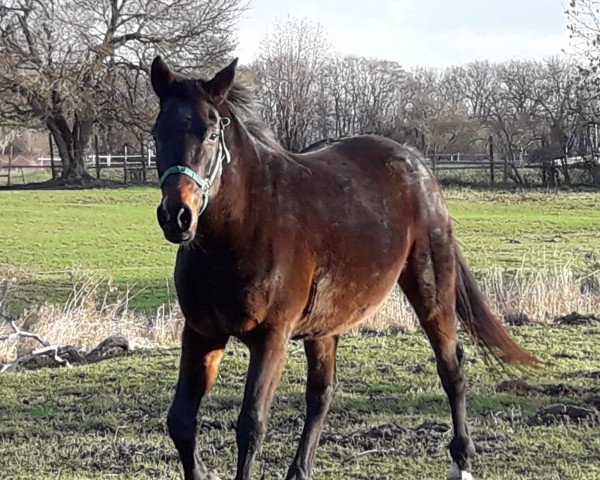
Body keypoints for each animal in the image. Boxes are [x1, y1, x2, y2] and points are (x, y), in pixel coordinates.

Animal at [150, 57, 540, 480]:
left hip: (431, 288)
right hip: (325, 324)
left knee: (451, 366)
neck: (243, 228)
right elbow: (181, 422)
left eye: (210, 133)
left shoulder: (271, 337)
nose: (177, 216)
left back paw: (462, 459)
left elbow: (251, 426)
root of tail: (418, 165)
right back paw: (300, 470)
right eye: (157, 133)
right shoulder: (202, 333)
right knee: (322, 393)